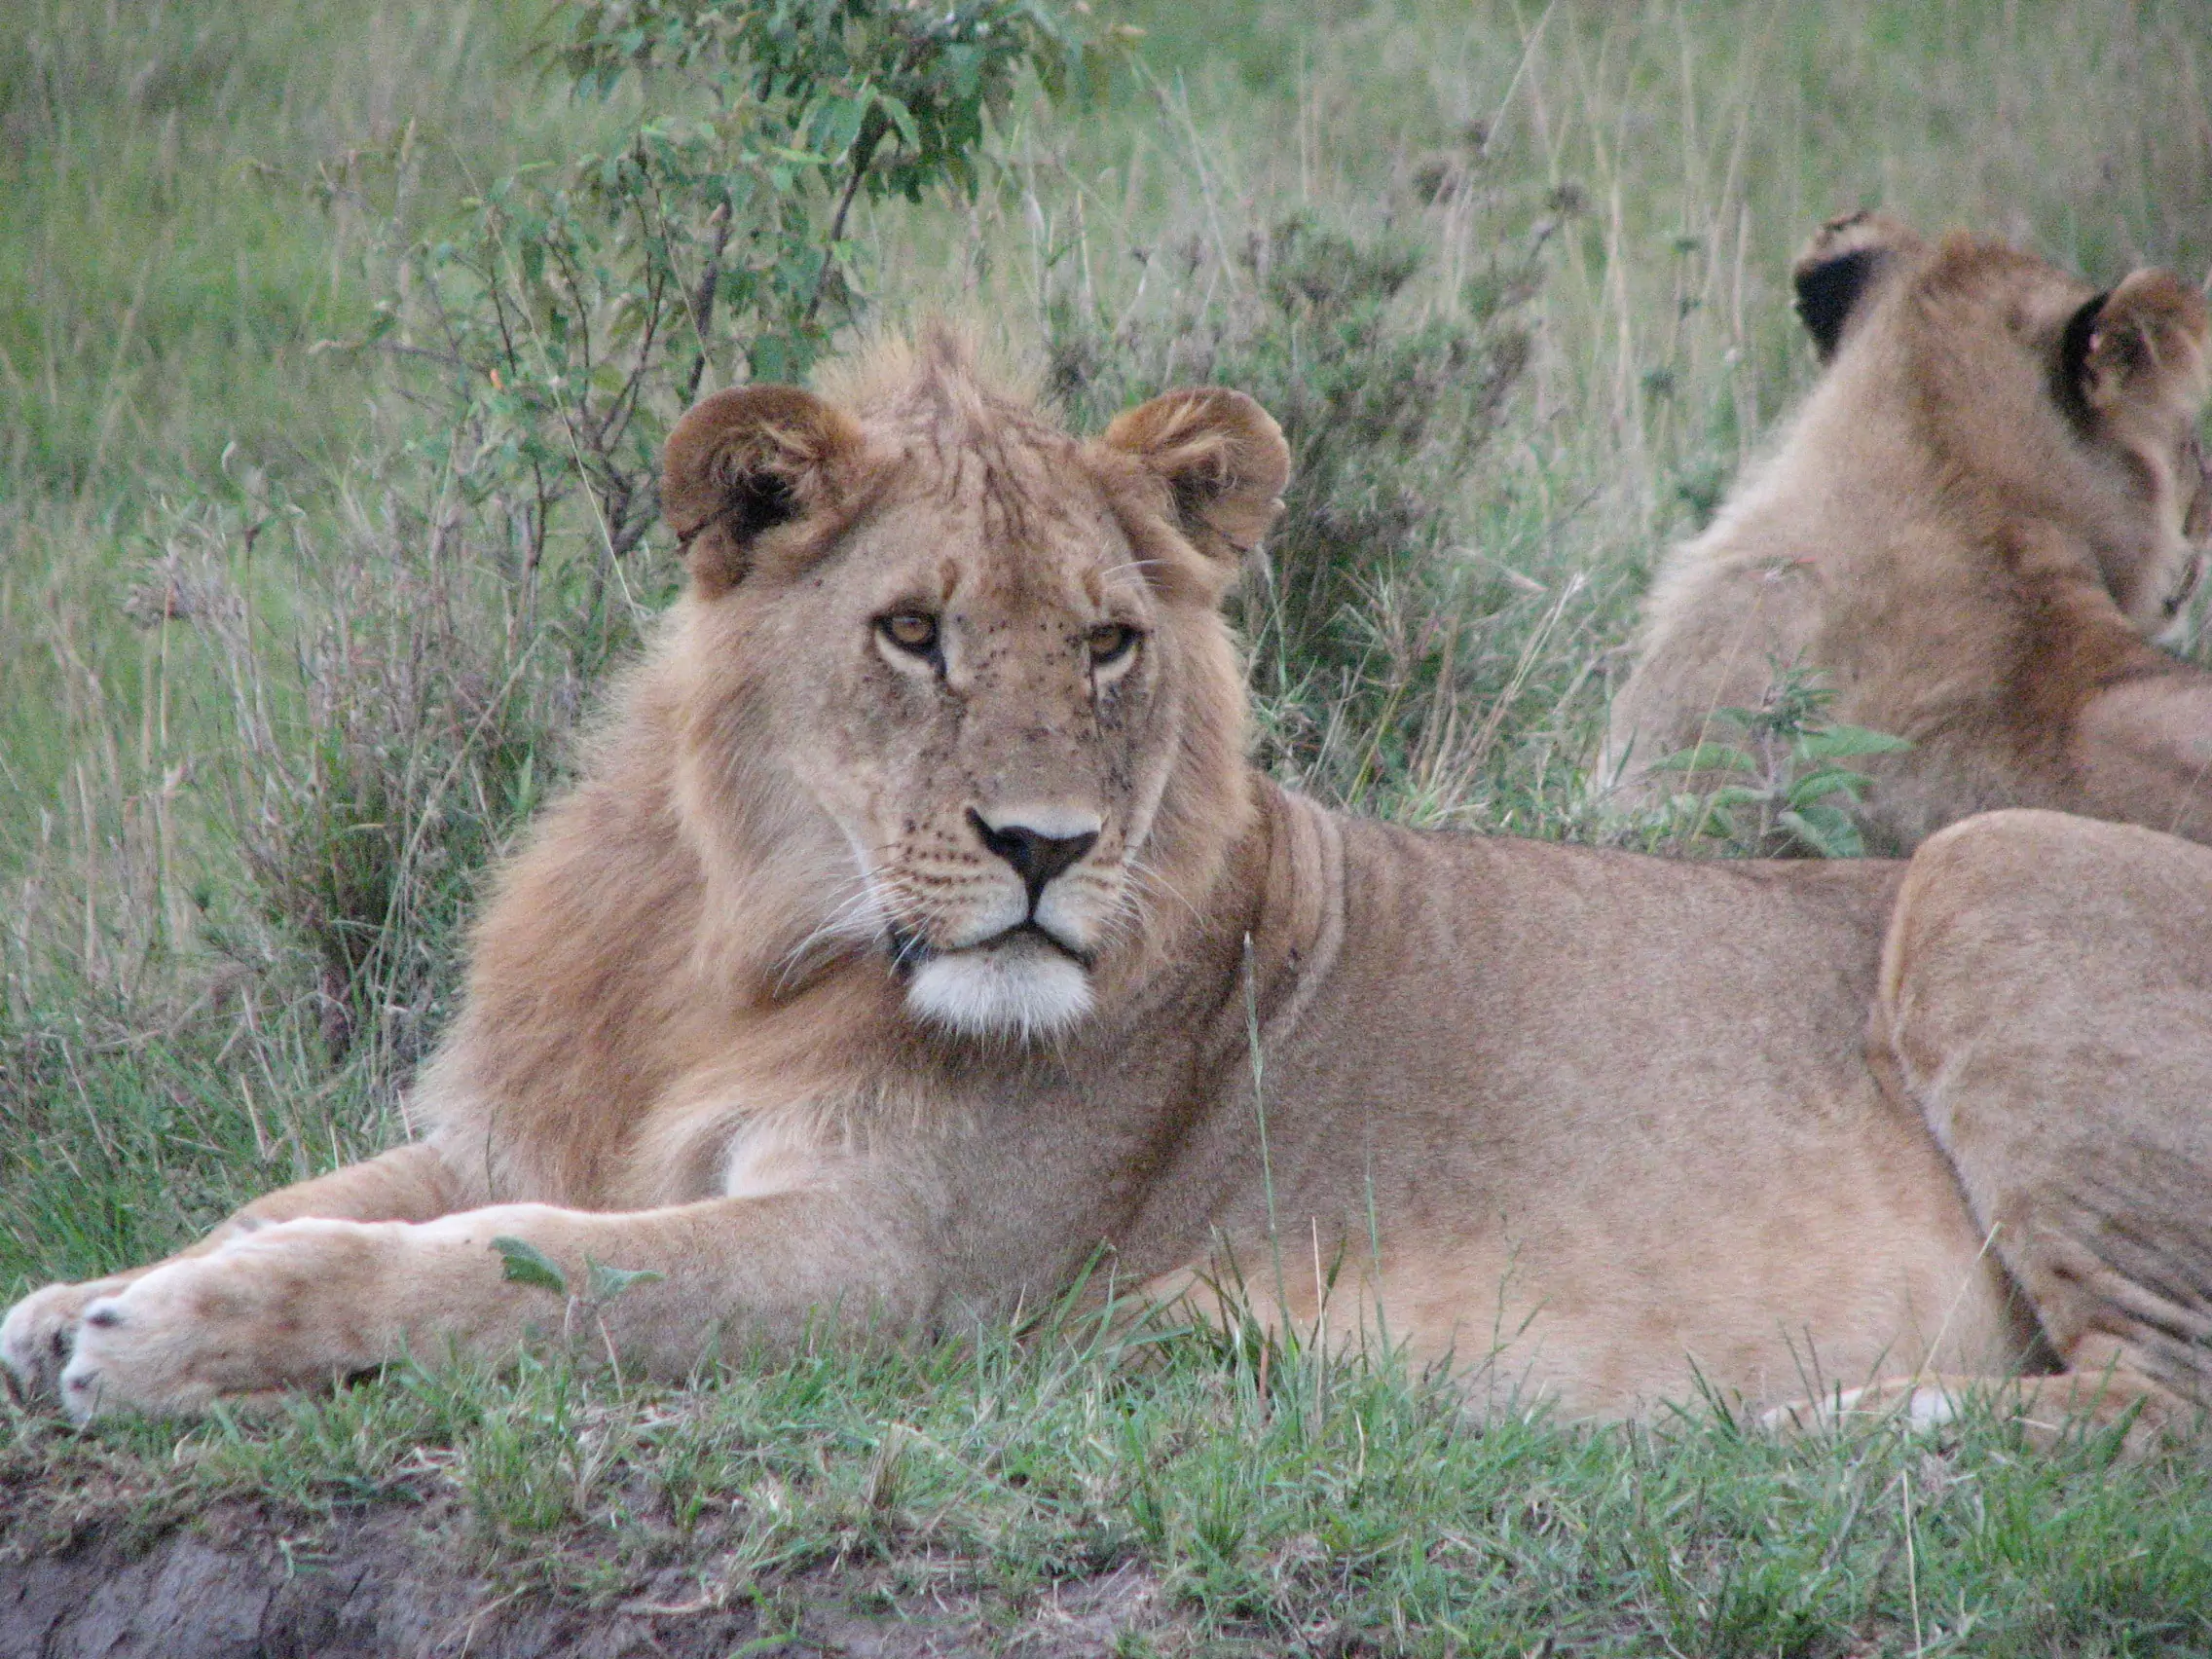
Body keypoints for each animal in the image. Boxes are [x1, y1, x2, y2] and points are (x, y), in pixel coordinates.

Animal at [13, 331, 2212, 1451]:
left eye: (1104, 645)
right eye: (910, 634)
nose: (1044, 851)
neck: (733, 947)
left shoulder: (885, 1272)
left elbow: (501, 1276)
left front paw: (160, 1336)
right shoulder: (524, 1122)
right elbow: (303, 1199)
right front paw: (65, 1297)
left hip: (1985, 861)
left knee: (2145, 1412)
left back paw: (1819, 1428)